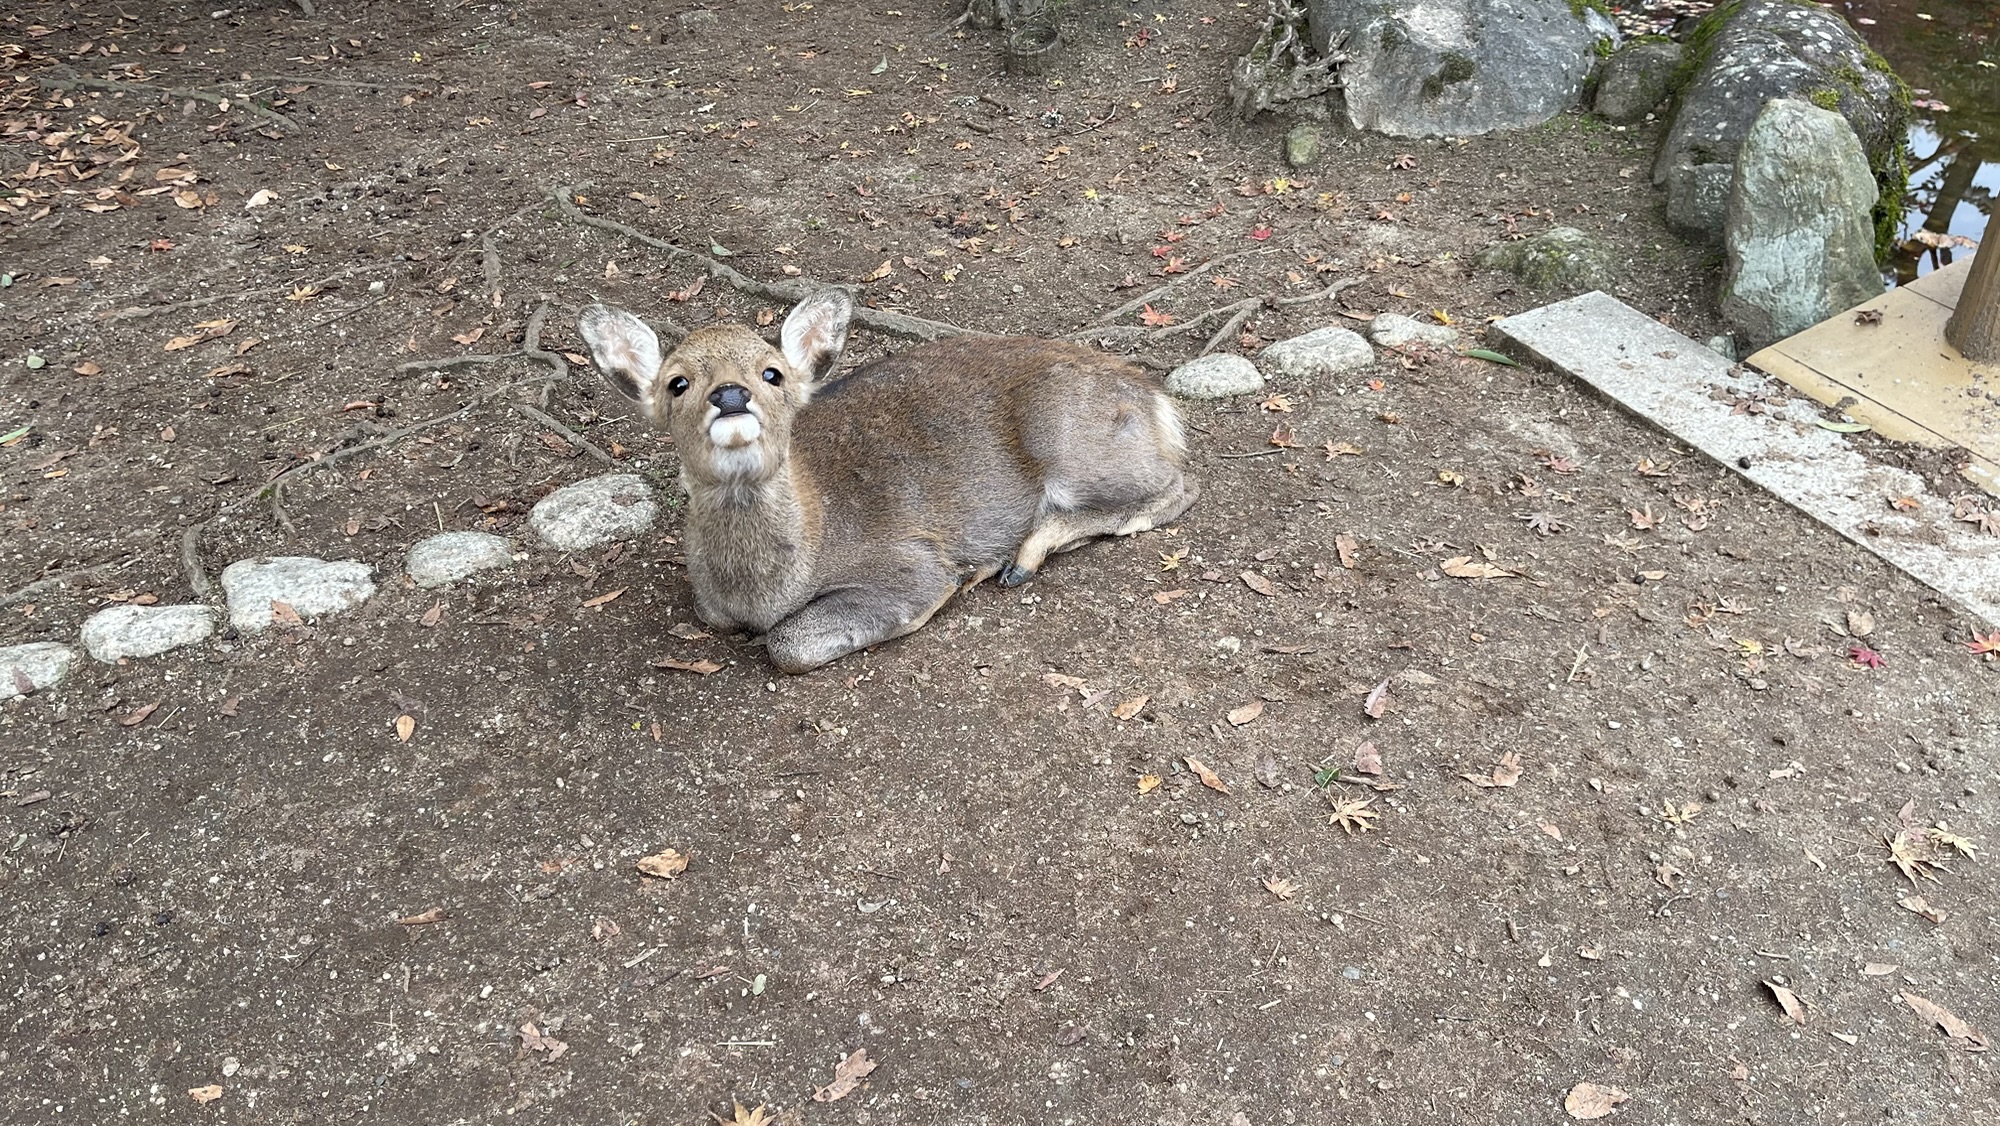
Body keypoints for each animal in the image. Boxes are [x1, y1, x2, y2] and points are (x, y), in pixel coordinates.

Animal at [578, 288, 1197, 673]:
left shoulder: (907, 562)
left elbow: (789, 643)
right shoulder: (708, 607)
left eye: (772, 373)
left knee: (1178, 488)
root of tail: (1159, 401)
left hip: (1072, 444)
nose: (731, 394)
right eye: (677, 382)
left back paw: (1015, 559)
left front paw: (959, 582)